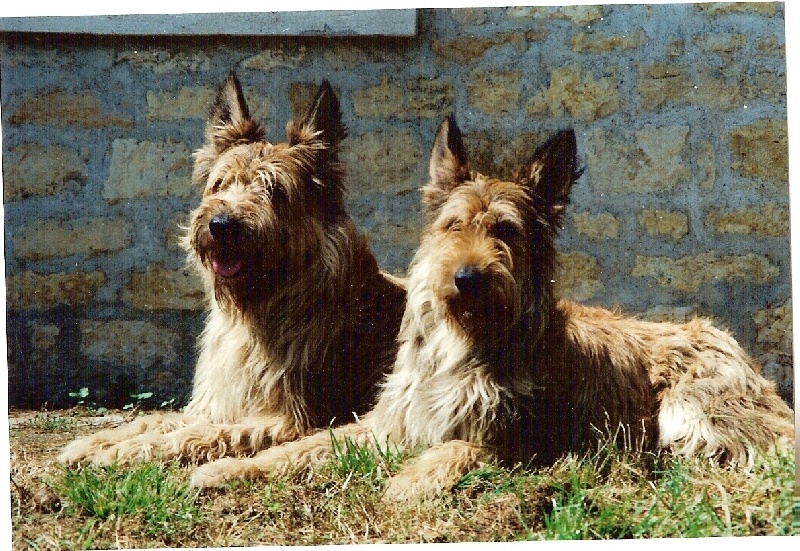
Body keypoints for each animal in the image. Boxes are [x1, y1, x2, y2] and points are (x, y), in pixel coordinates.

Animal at [58, 74, 405, 466]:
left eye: (276, 190)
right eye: (221, 183)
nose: (221, 225)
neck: (268, 302)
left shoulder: (285, 420)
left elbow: (195, 435)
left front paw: (122, 451)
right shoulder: (215, 404)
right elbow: (156, 421)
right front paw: (95, 442)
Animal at [189, 115, 794, 499]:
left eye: (505, 230)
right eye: (454, 224)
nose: (467, 277)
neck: (463, 345)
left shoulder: (516, 439)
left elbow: (455, 451)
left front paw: (407, 483)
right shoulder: (385, 424)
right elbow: (304, 447)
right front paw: (224, 470)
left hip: (690, 412)